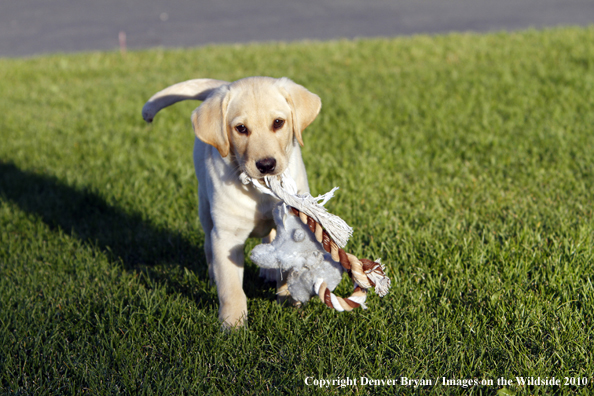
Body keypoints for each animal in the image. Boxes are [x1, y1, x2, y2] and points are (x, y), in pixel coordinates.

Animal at [142, 77, 322, 328]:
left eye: (278, 123)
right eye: (241, 129)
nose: (266, 165)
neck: (260, 190)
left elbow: (288, 265)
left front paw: (288, 299)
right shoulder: (227, 237)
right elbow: (231, 286)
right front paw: (233, 325)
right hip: (205, 210)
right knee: (209, 246)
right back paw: (213, 277)